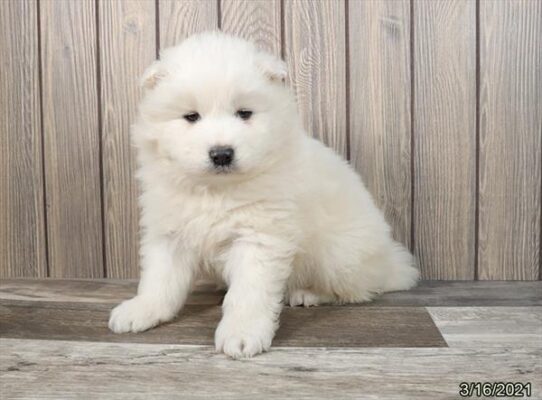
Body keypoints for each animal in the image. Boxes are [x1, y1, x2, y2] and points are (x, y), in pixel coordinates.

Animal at [108, 30, 418, 356]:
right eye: (191, 117)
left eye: (244, 113)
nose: (222, 154)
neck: (216, 191)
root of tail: (390, 262)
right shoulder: (169, 233)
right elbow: (158, 281)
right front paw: (141, 310)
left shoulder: (259, 238)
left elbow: (248, 294)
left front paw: (242, 334)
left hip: (338, 254)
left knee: (357, 290)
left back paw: (307, 294)